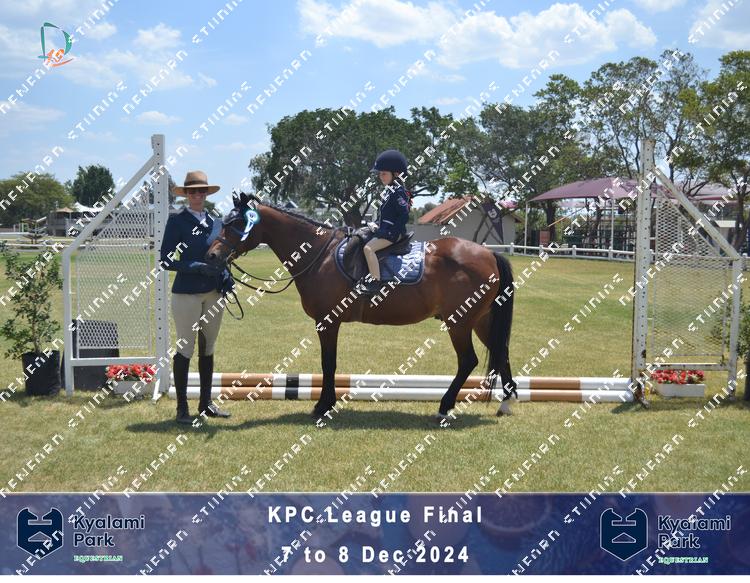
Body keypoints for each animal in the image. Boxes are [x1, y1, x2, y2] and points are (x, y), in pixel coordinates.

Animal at [206, 192, 517, 420]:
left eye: (237, 224)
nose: (212, 256)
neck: (320, 256)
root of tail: (488, 253)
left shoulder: (327, 322)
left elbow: (328, 363)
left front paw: (323, 406)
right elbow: (329, 364)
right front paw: (326, 404)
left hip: (459, 323)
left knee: (468, 361)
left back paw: (445, 406)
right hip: (481, 320)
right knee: (501, 352)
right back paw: (505, 404)